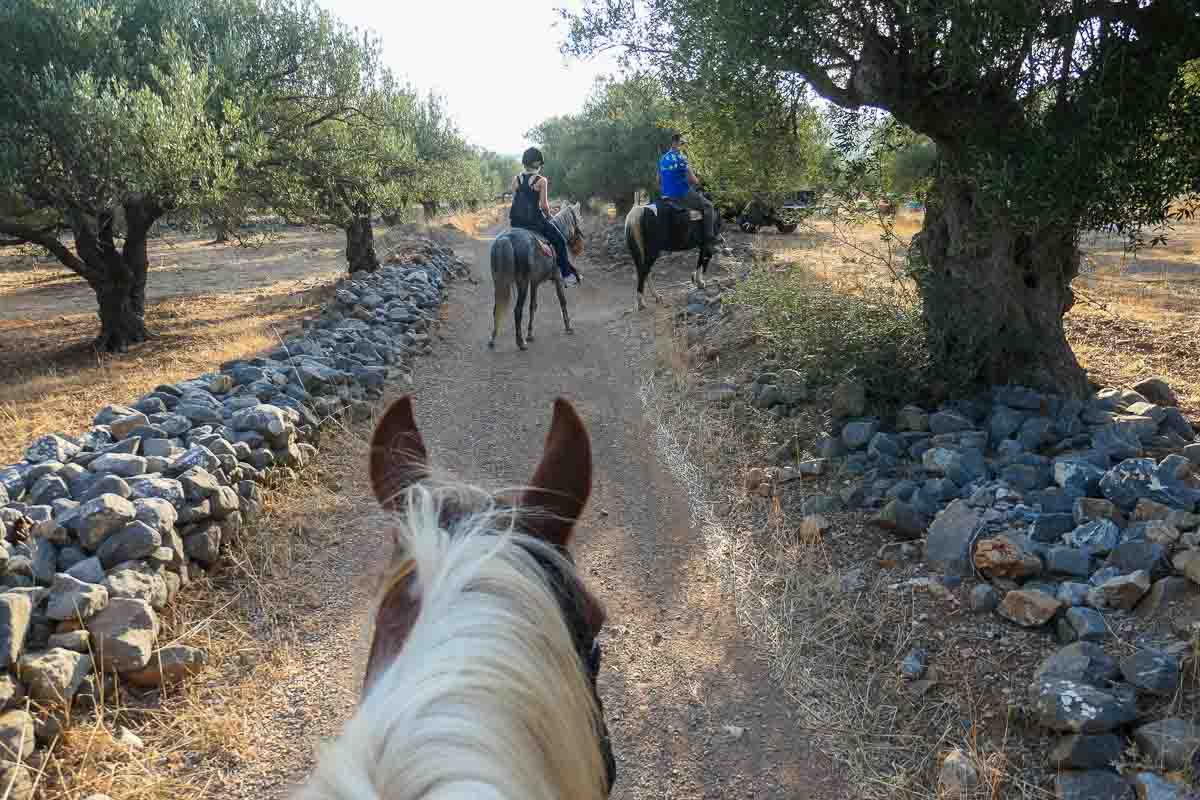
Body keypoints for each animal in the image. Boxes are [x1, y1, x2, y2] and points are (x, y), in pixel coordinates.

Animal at [484, 203, 583, 350]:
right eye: (579, 219)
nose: (580, 248)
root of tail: (505, 239)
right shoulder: (557, 278)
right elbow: (562, 301)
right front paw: (568, 327)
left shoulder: (534, 282)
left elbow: (533, 306)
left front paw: (530, 334)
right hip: (522, 283)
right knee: (517, 310)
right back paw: (520, 342)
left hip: (499, 281)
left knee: (497, 308)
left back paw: (493, 339)